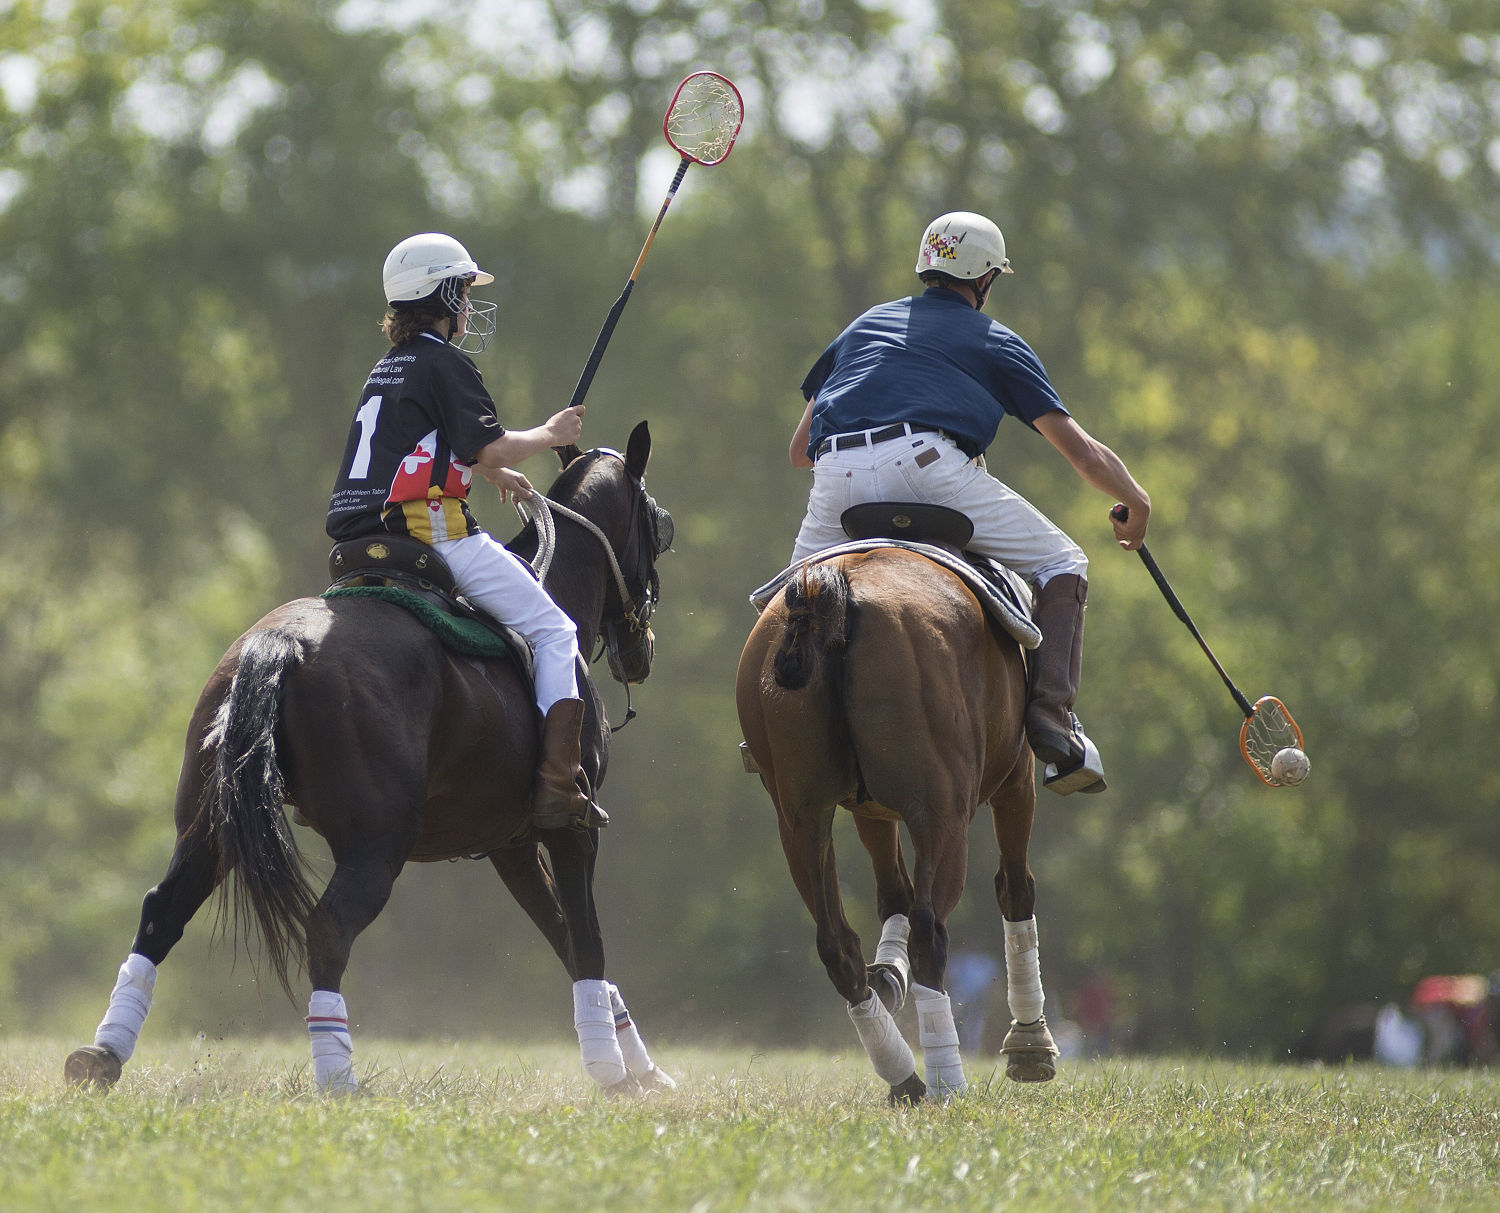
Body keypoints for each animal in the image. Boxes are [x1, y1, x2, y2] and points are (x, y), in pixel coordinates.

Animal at [64, 419, 675, 1091]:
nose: (641, 649)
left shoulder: (510, 843)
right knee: (328, 927)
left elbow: (564, 937)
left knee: (162, 910)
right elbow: (588, 941)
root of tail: (280, 640)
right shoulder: (569, 827)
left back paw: (102, 1055)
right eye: (658, 525)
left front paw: (642, 1071)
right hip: (378, 842)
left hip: (209, 823)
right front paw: (616, 1075)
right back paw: (338, 1079)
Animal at [732, 545, 1062, 1097]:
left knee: (837, 943)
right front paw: (1030, 1044)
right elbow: (1015, 887)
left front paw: (888, 974)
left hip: (800, 817)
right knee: (932, 928)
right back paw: (946, 1083)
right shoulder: (1015, 776)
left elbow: (892, 894)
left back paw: (904, 1075)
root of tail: (833, 594)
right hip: (945, 813)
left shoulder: (867, 807)